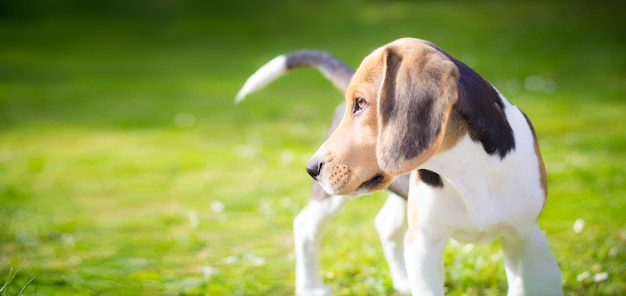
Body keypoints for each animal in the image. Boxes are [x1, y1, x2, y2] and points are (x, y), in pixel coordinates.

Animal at [304, 38, 564, 294]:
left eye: (360, 102)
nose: (311, 168)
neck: (465, 168)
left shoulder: (525, 236)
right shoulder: (423, 244)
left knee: (386, 225)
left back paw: (402, 282)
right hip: (328, 201)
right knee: (305, 227)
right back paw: (313, 288)